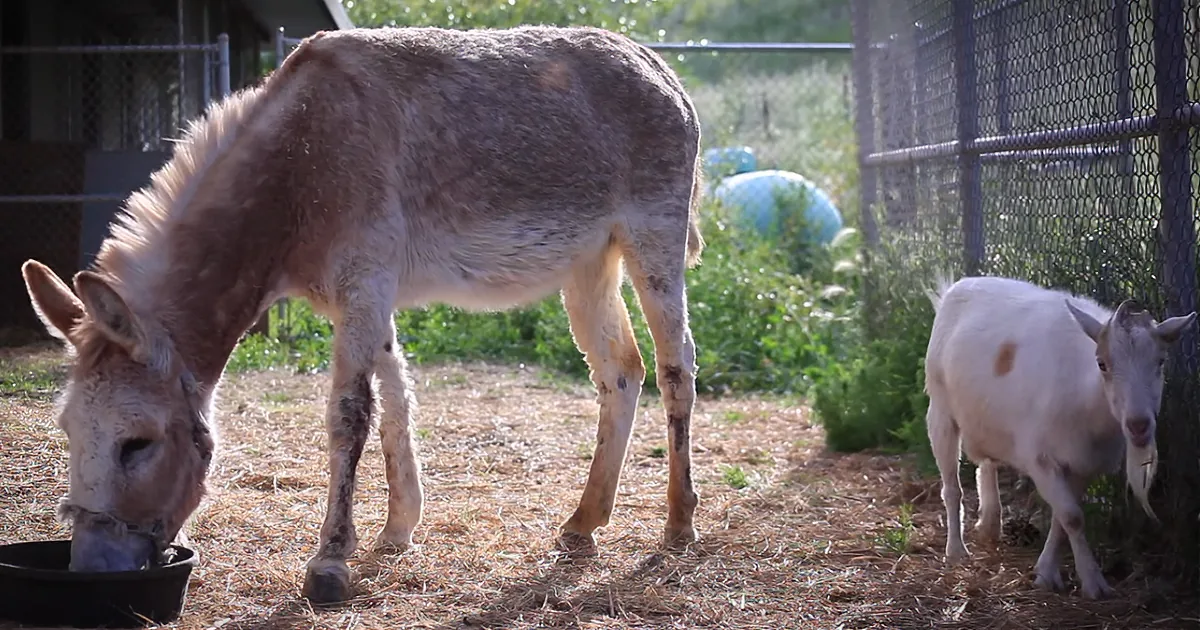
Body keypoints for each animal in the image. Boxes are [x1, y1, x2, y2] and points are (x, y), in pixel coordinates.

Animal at [923, 274, 1195, 599]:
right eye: (1102, 364)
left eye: (1161, 361)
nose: (1139, 425)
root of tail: (956, 288)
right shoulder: (1040, 458)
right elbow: (1072, 517)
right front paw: (1093, 582)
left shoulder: (1082, 461)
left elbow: (1063, 518)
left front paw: (1046, 573)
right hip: (940, 407)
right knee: (952, 487)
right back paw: (956, 550)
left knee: (987, 463)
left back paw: (990, 523)